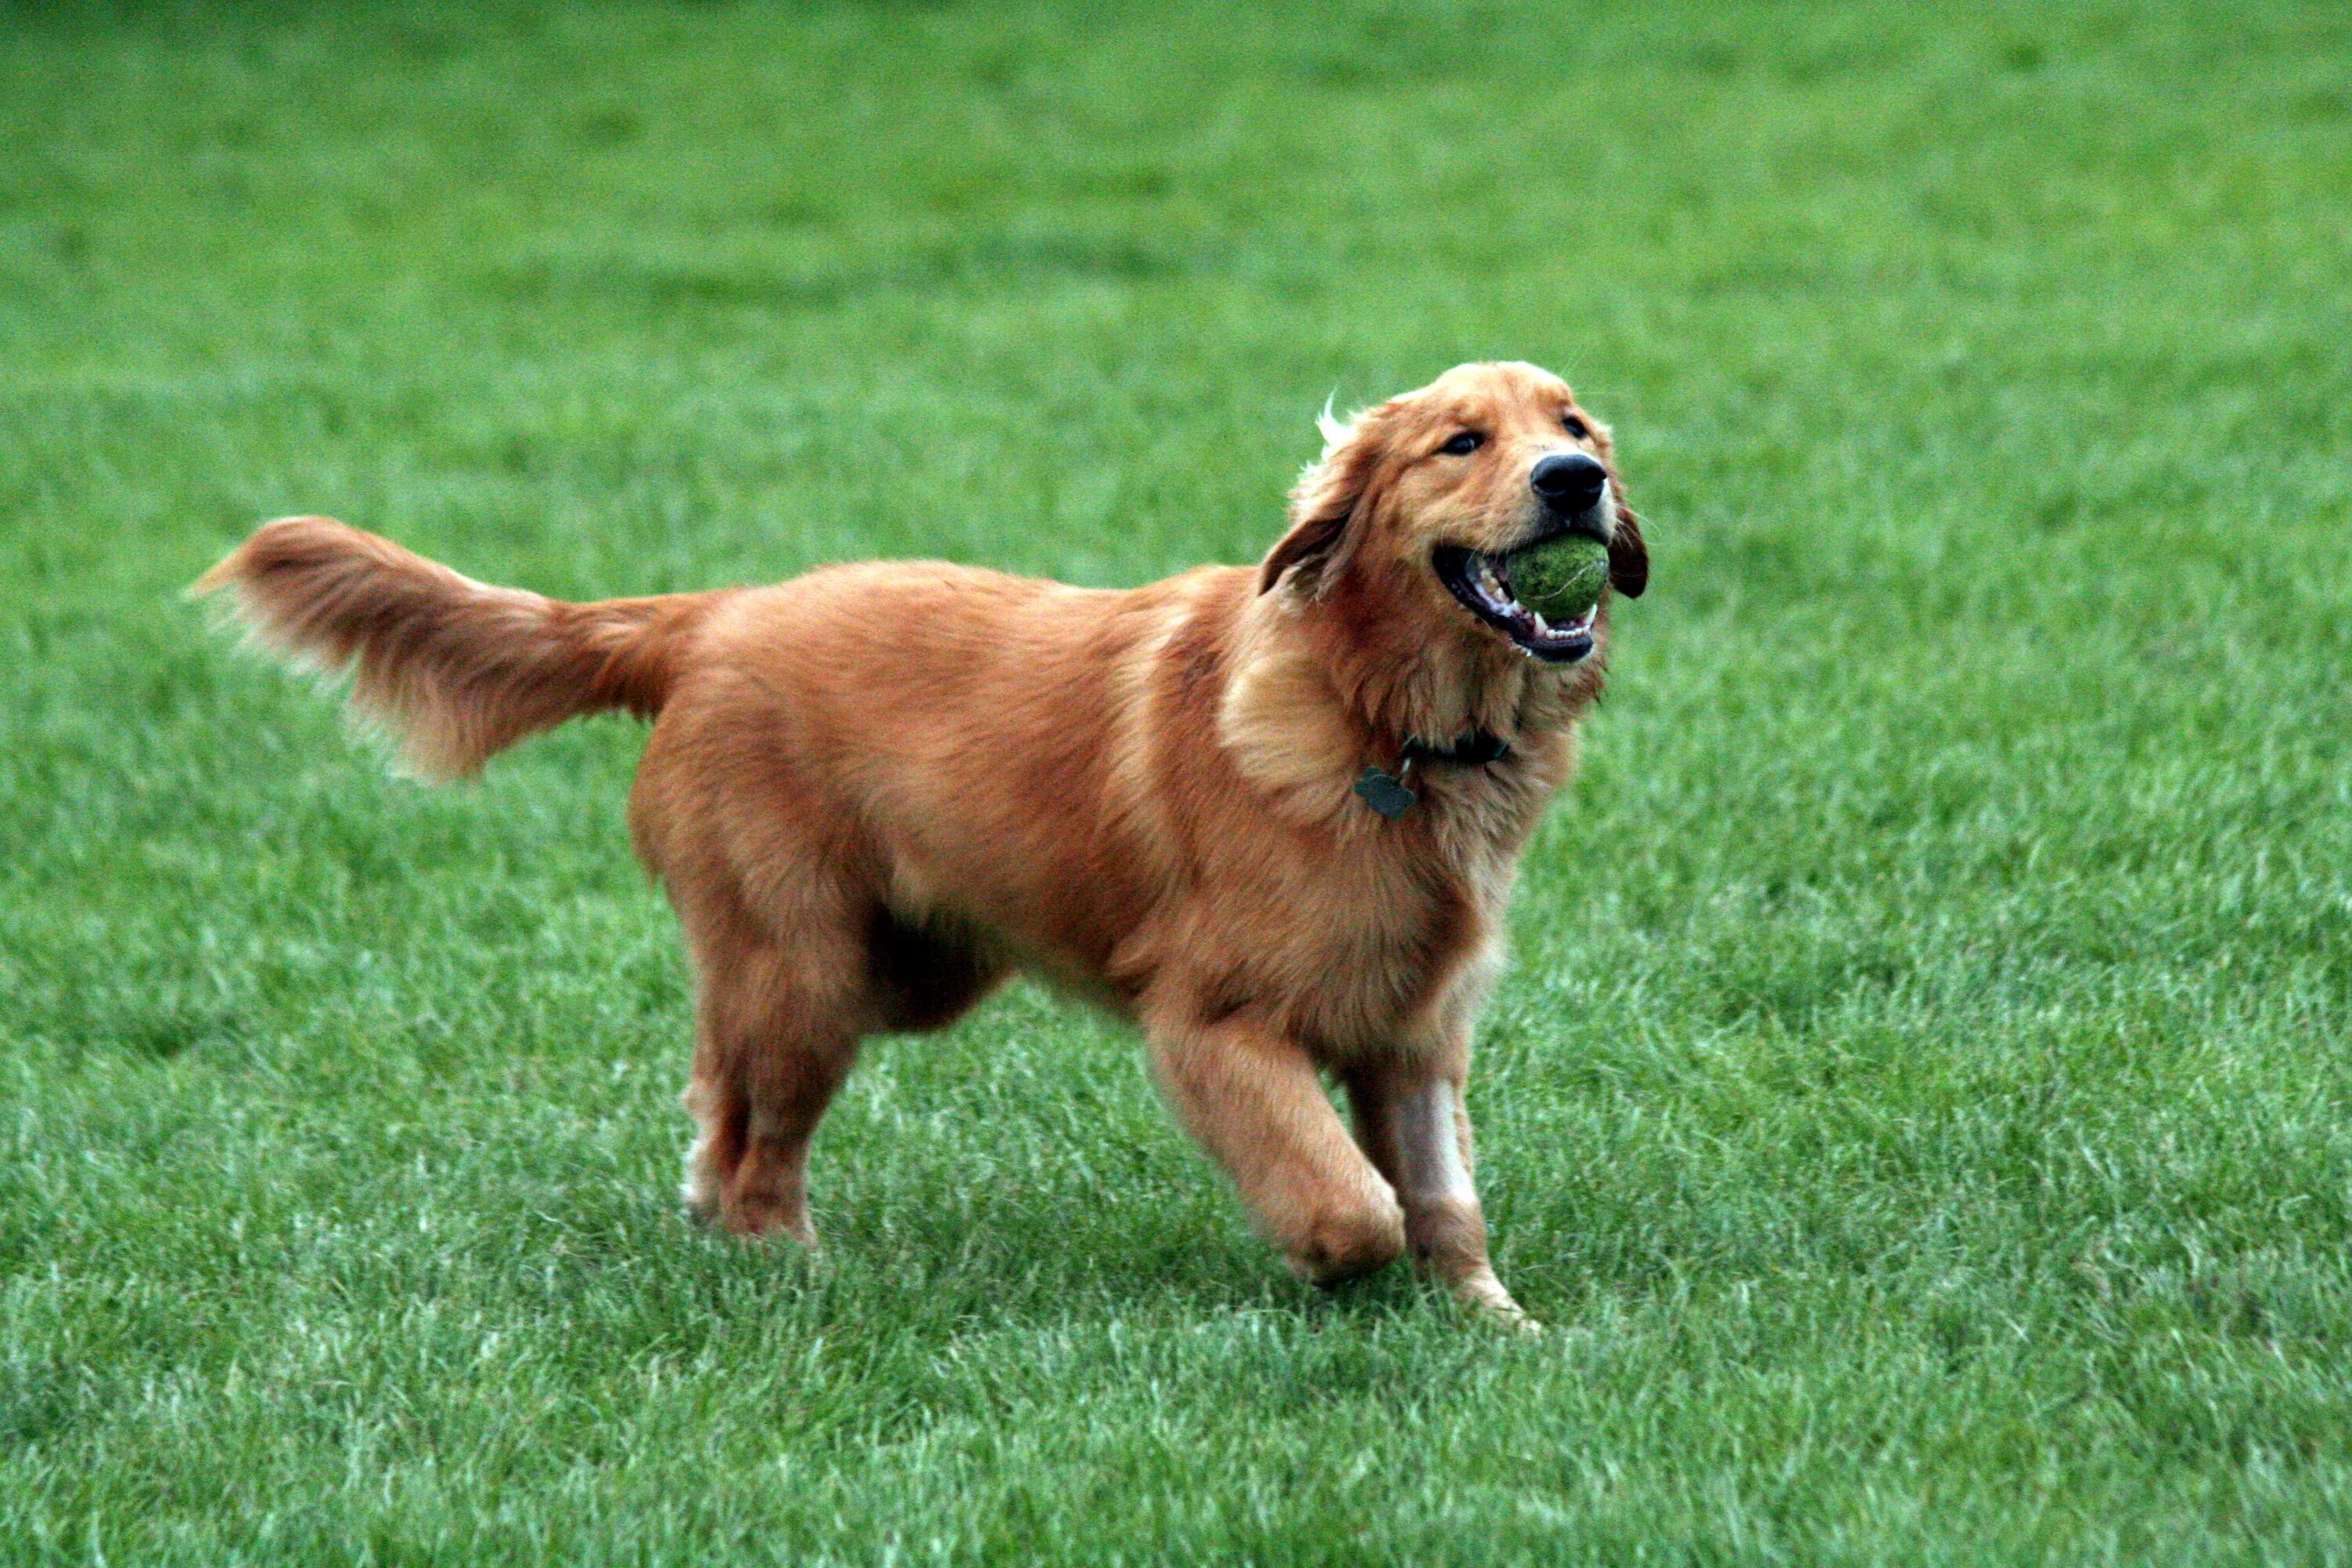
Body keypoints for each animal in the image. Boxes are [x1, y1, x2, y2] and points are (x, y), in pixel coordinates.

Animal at [202, 359, 1646, 1326]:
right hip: (811, 968)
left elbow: (1443, 1201)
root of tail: (710, 616)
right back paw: (788, 1266)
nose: (1576, 482)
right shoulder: (1213, 1023)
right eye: (1463, 442)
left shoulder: (1416, 1031)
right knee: (757, 1143)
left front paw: (1494, 1326)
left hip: (907, 970)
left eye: (1572, 426)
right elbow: (1350, 1201)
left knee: (716, 1095)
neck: (1387, 724)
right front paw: (1328, 1265)